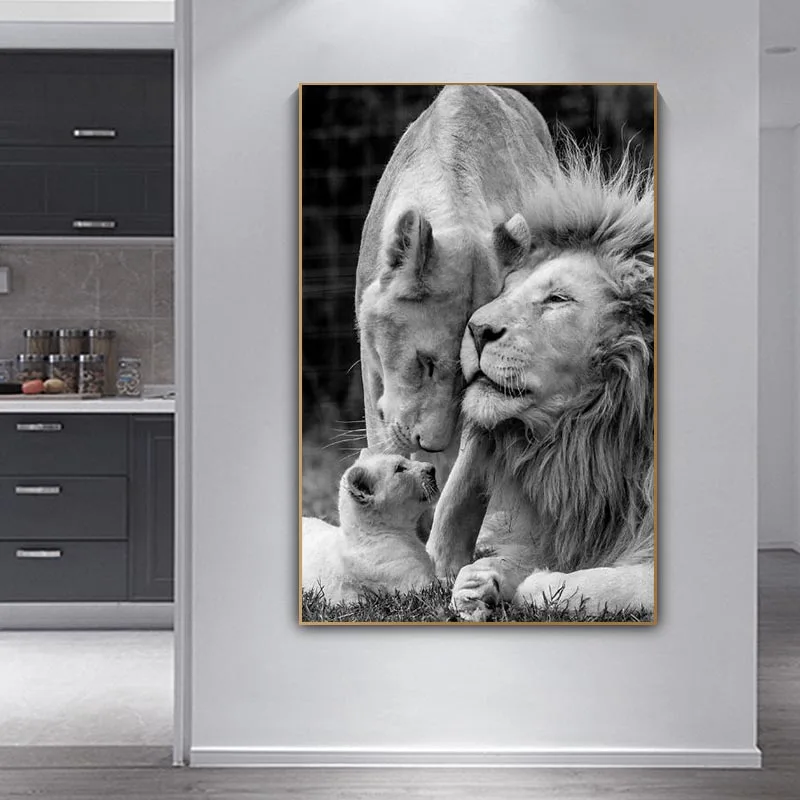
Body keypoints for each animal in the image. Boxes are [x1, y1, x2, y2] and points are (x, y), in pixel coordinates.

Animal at [425, 138, 655, 621]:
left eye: (558, 299)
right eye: (505, 290)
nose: (476, 329)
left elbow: (598, 584)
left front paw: (535, 582)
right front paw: (480, 581)